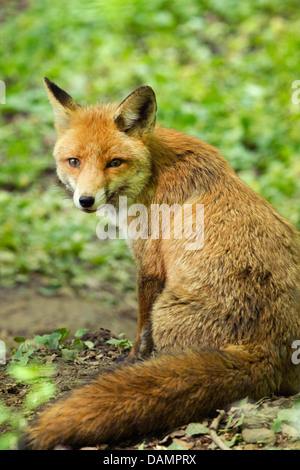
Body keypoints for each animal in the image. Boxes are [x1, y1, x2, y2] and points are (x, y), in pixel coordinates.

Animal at [21, 79, 300, 450]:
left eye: (114, 162)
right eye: (74, 161)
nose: (85, 200)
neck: (153, 171)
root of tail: (270, 348)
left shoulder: (150, 264)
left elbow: (140, 329)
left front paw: (130, 362)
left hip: (166, 312)